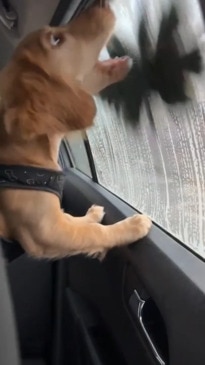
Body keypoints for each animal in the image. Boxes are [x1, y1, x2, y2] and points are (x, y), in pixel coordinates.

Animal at [0, 0, 151, 258]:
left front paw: (91, 215)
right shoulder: (44, 232)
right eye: (55, 39)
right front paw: (132, 225)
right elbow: (94, 233)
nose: (100, 1)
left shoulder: (57, 219)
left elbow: (76, 221)